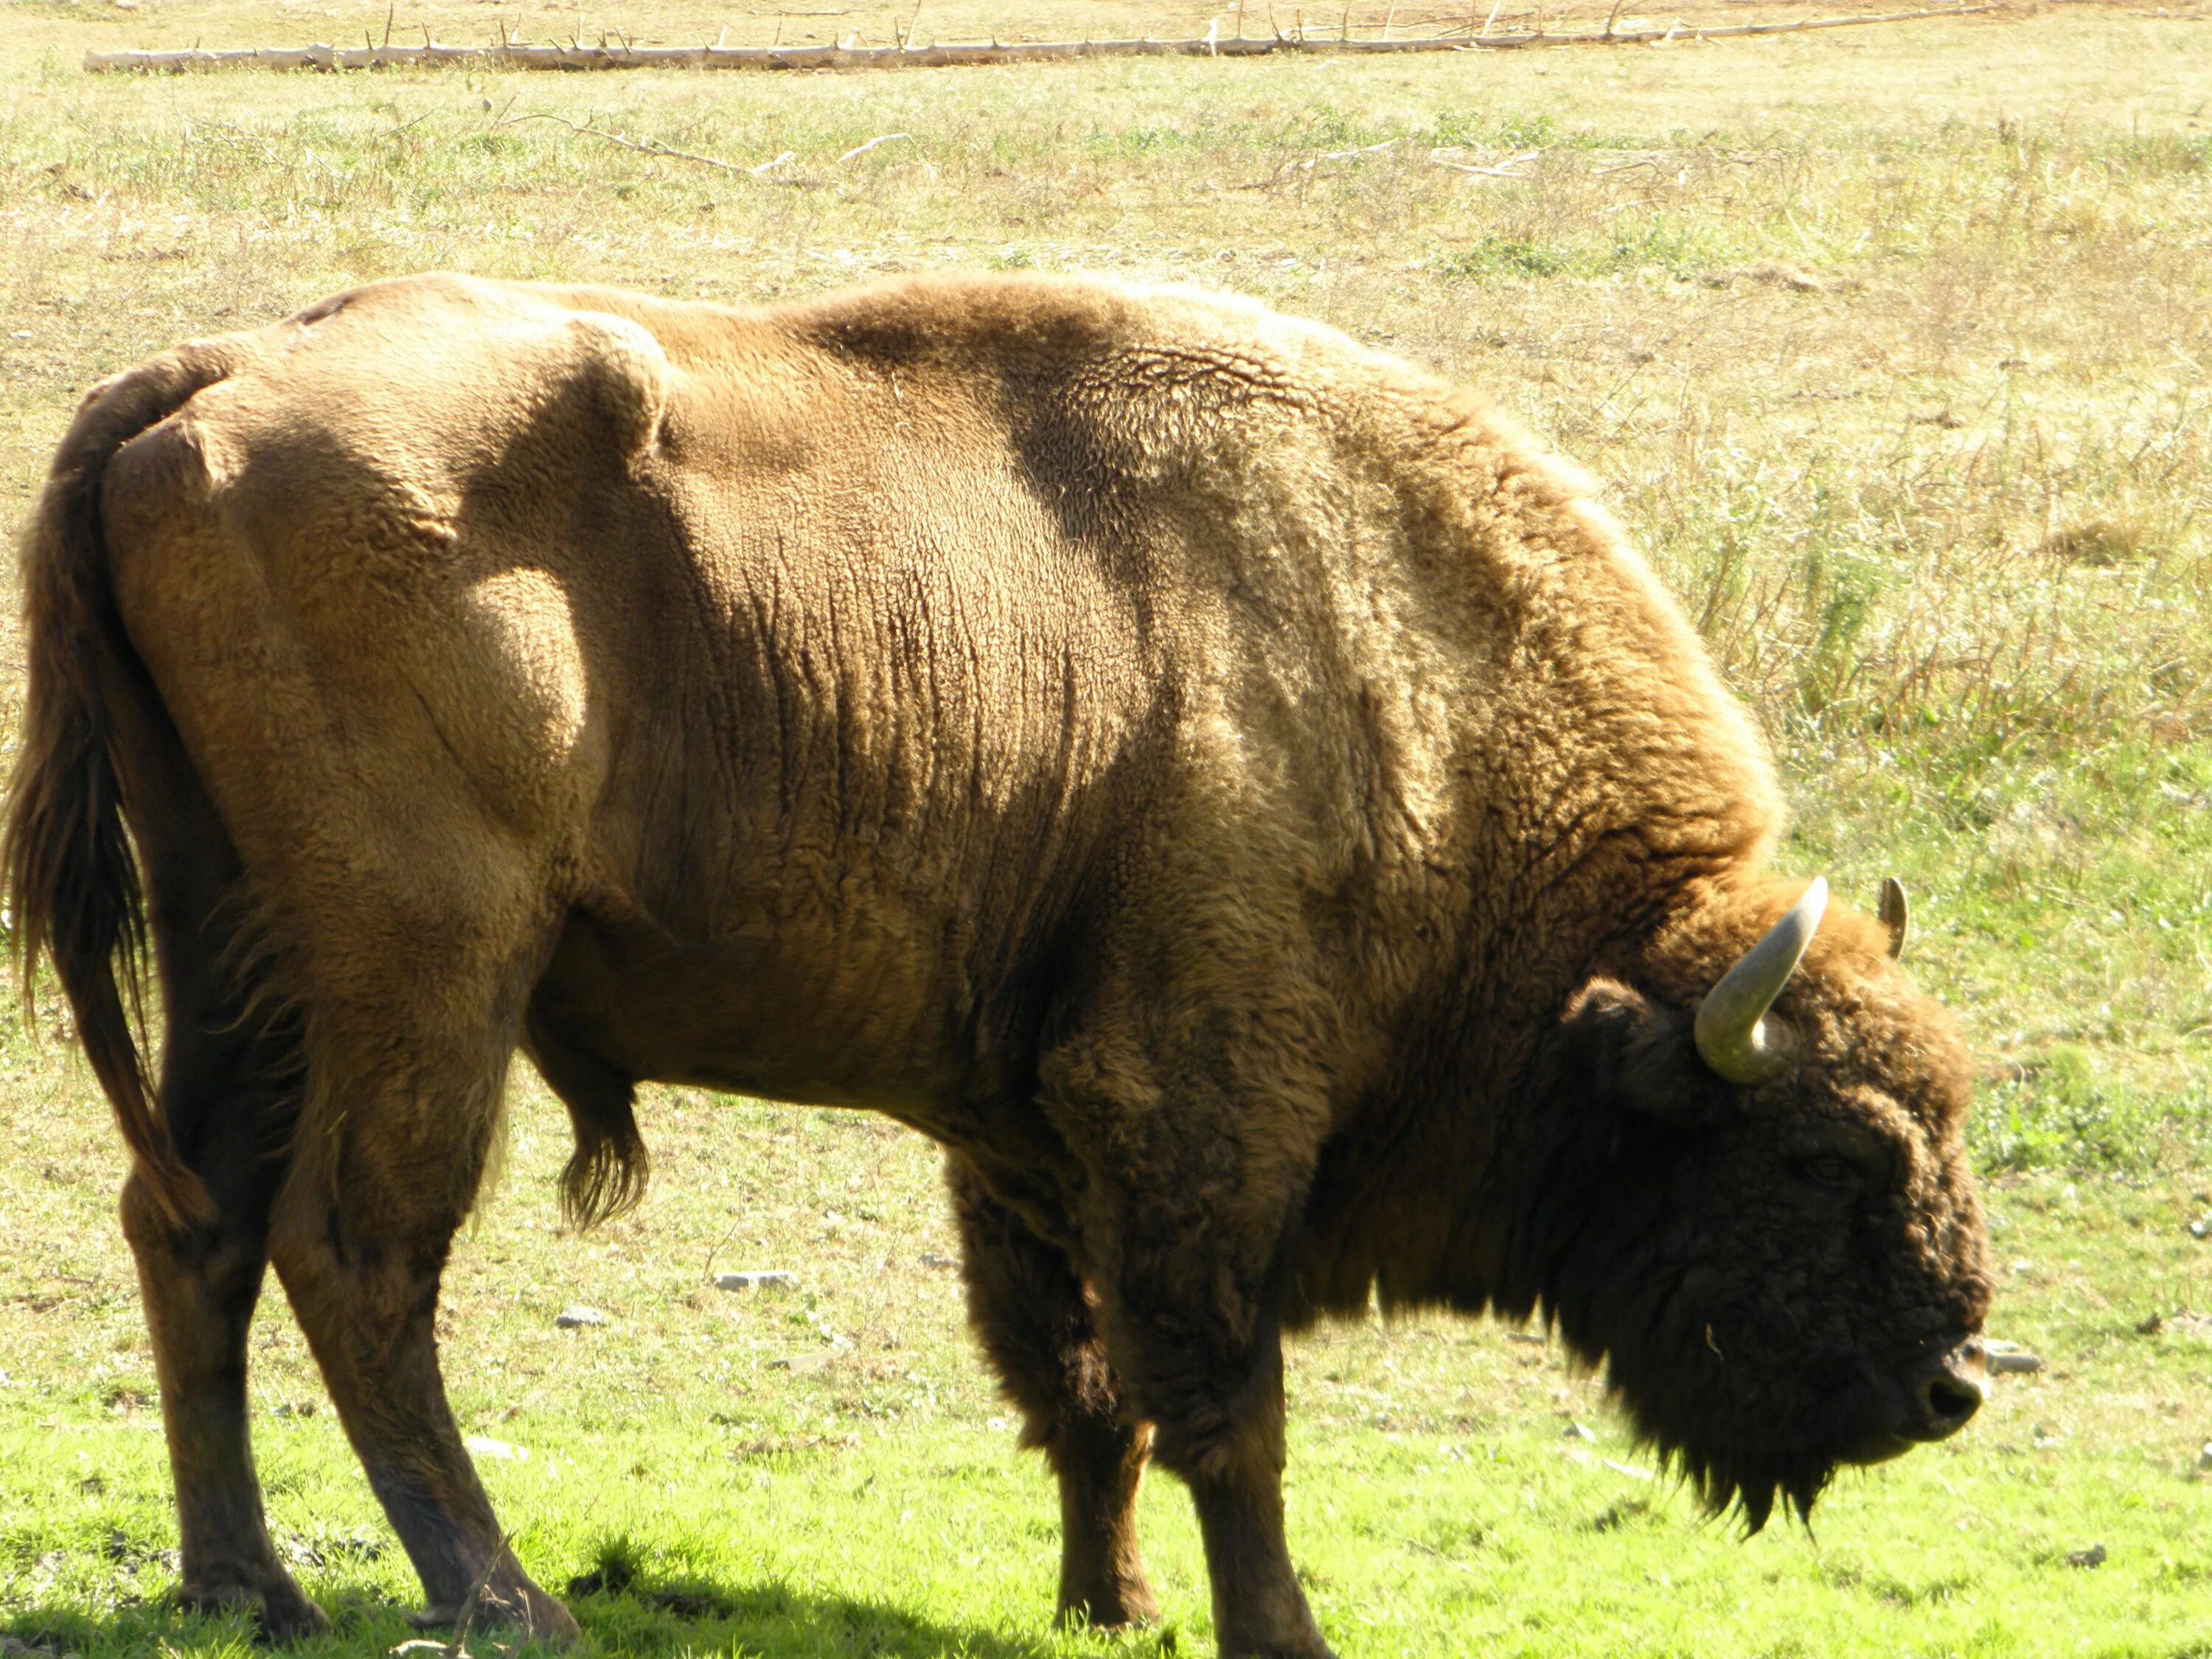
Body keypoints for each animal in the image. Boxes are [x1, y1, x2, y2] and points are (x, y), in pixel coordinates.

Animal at [8, 273, 2000, 1655]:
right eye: (1826, 1154)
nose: (1952, 1388)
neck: (1398, 684)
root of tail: (204, 378)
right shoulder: (1194, 1111)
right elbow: (1222, 1404)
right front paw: (1275, 1629)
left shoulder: (1029, 1126)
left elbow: (1086, 1385)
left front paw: (1109, 1603)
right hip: (429, 974)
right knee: (355, 1253)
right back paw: (504, 1601)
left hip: (240, 950)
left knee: (194, 1222)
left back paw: (248, 1588)